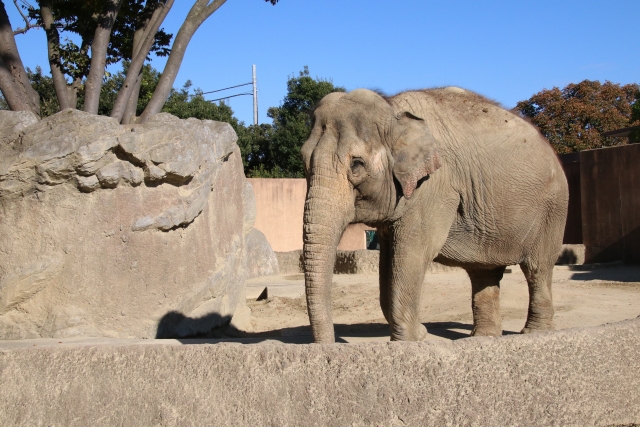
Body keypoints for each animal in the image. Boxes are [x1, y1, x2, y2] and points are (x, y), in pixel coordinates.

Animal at [302, 87, 568, 344]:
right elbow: (389, 261)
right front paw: (419, 334)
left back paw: (534, 333)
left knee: (538, 267)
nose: (329, 345)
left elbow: (412, 253)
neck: (393, 110)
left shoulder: (435, 188)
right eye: (304, 162)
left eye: (357, 164)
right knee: (483, 271)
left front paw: (411, 340)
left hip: (552, 209)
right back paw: (483, 338)